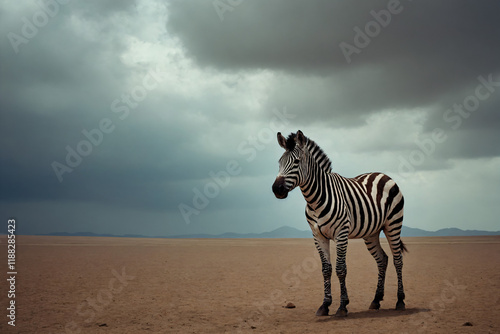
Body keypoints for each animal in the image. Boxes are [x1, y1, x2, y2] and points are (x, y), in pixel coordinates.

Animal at [272, 130, 408, 316]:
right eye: (279, 162)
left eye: (297, 162)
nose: (276, 189)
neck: (315, 199)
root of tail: (382, 174)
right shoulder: (318, 236)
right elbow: (326, 269)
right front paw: (325, 305)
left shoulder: (341, 233)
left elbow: (340, 269)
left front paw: (342, 306)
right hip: (371, 232)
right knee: (382, 259)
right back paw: (376, 300)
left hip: (393, 224)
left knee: (397, 259)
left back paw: (400, 301)